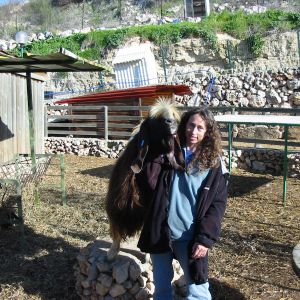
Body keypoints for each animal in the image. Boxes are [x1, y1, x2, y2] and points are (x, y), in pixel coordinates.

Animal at [105, 99, 185, 260]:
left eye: (174, 117)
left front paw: (148, 255)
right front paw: (112, 252)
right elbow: (116, 227)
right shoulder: (117, 203)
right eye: (154, 119)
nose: (172, 123)